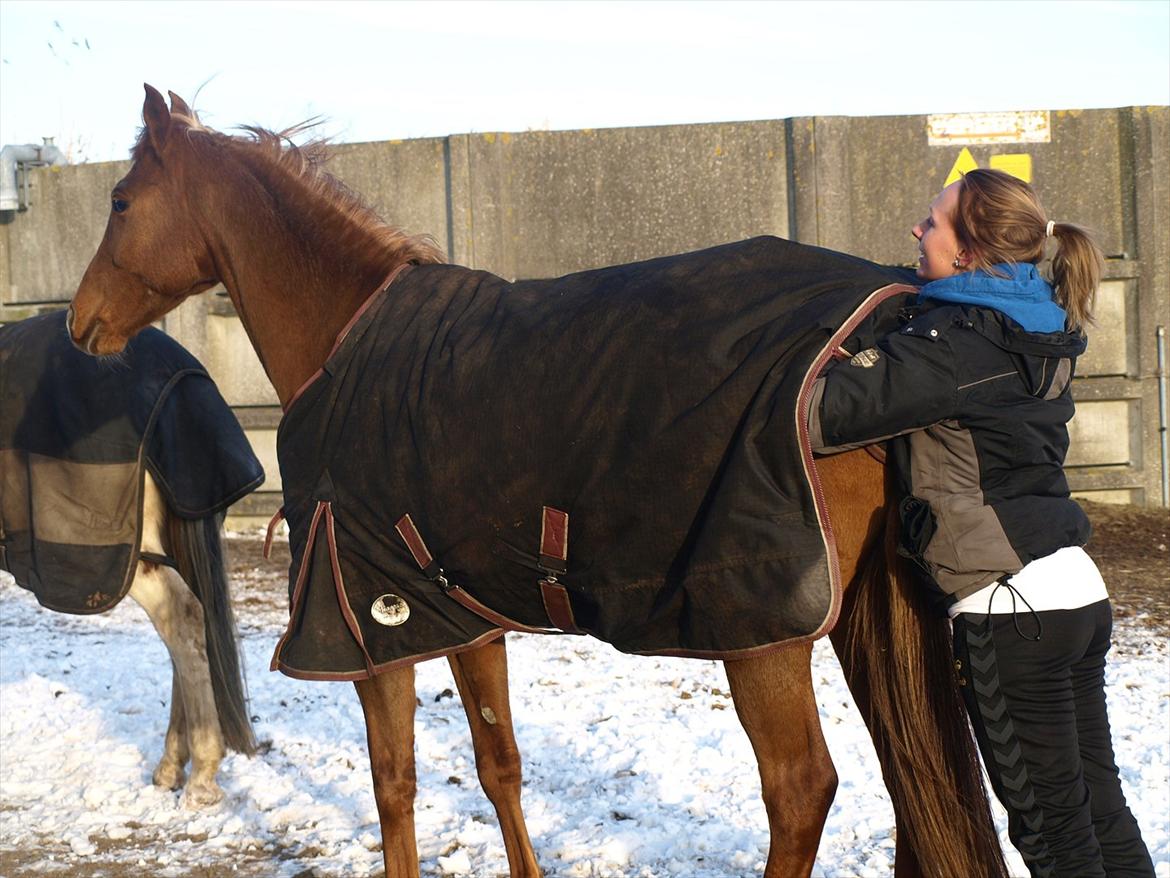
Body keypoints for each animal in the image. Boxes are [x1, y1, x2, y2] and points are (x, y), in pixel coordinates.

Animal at [70, 87, 1006, 878]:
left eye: (120, 201)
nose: (80, 322)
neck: (345, 340)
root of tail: (883, 320)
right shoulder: (460, 614)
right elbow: (499, 766)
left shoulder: (369, 625)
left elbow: (394, 786)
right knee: (909, 777)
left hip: (760, 633)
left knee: (801, 789)